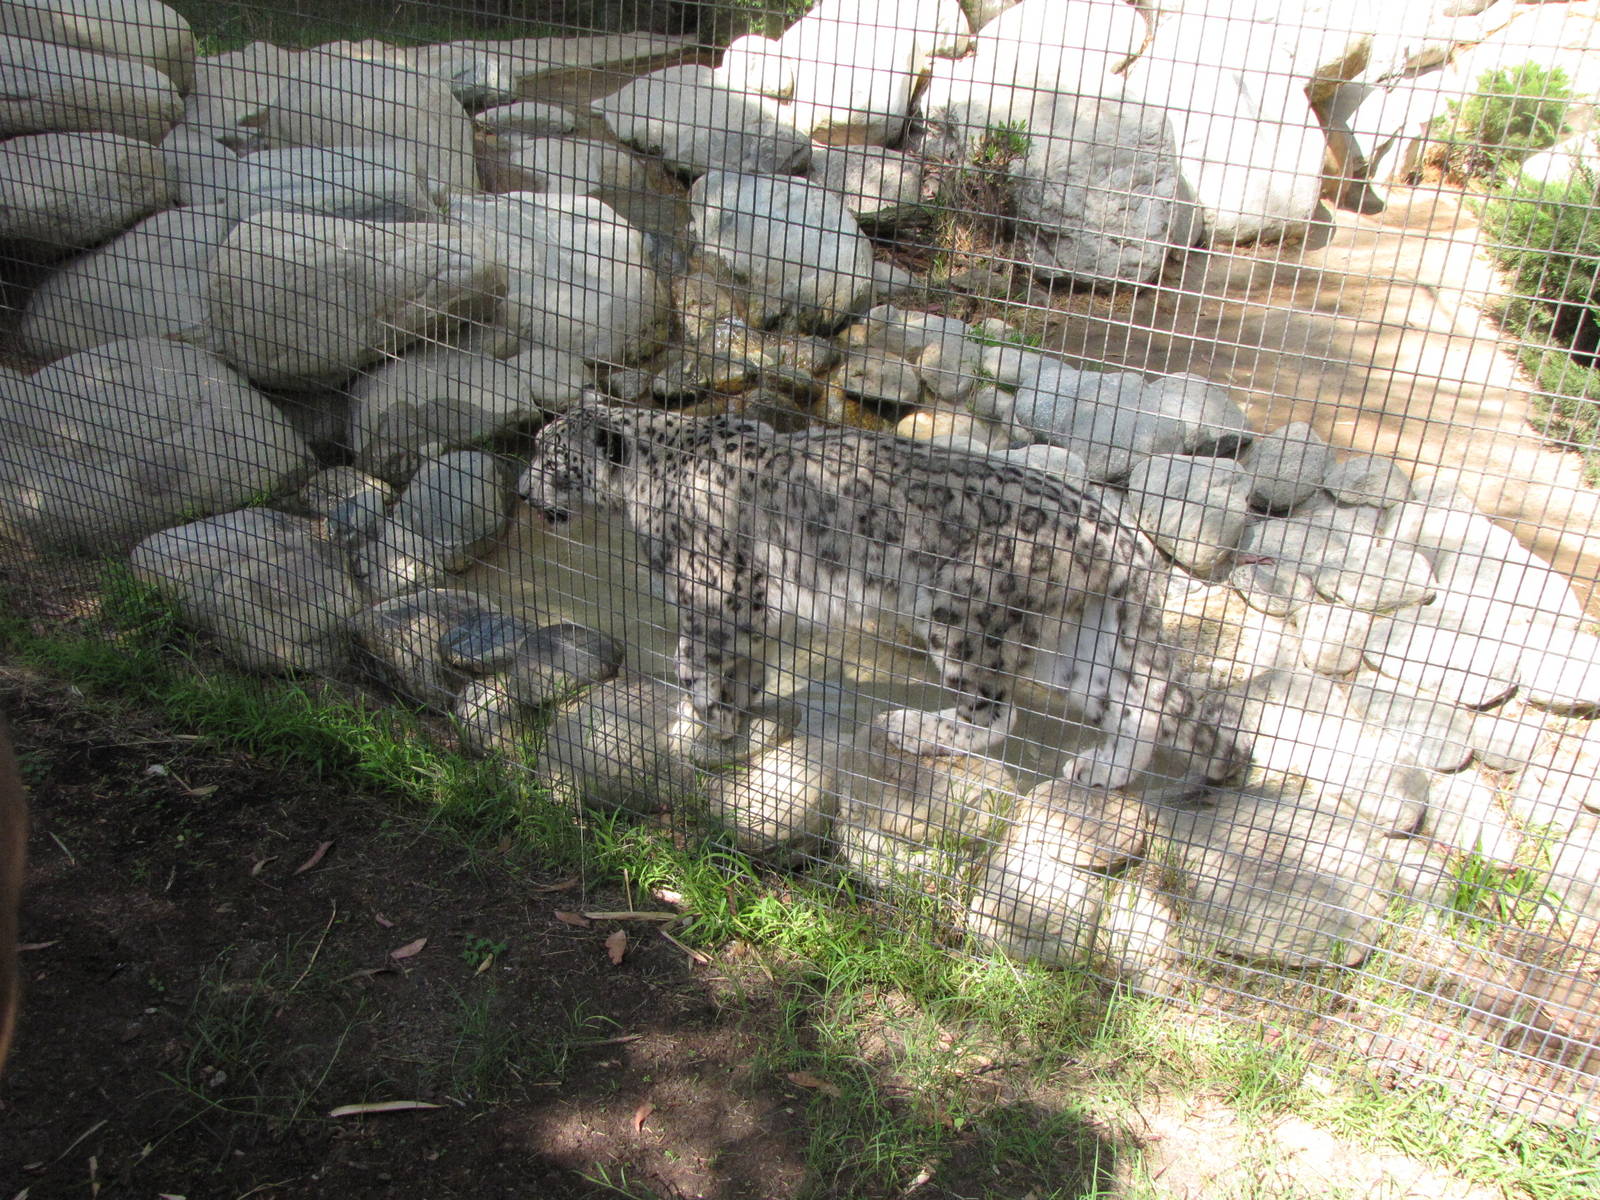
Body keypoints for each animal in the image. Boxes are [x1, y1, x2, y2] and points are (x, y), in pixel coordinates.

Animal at [517, 401, 1249, 789]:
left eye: (550, 459)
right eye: (535, 447)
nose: (522, 491)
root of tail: (1123, 534)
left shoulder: (714, 594)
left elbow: (701, 662)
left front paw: (698, 724)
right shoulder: (751, 605)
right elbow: (747, 665)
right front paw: (734, 717)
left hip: (957, 602)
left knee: (994, 711)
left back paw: (913, 727)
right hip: (1081, 642)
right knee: (1139, 703)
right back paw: (1101, 769)